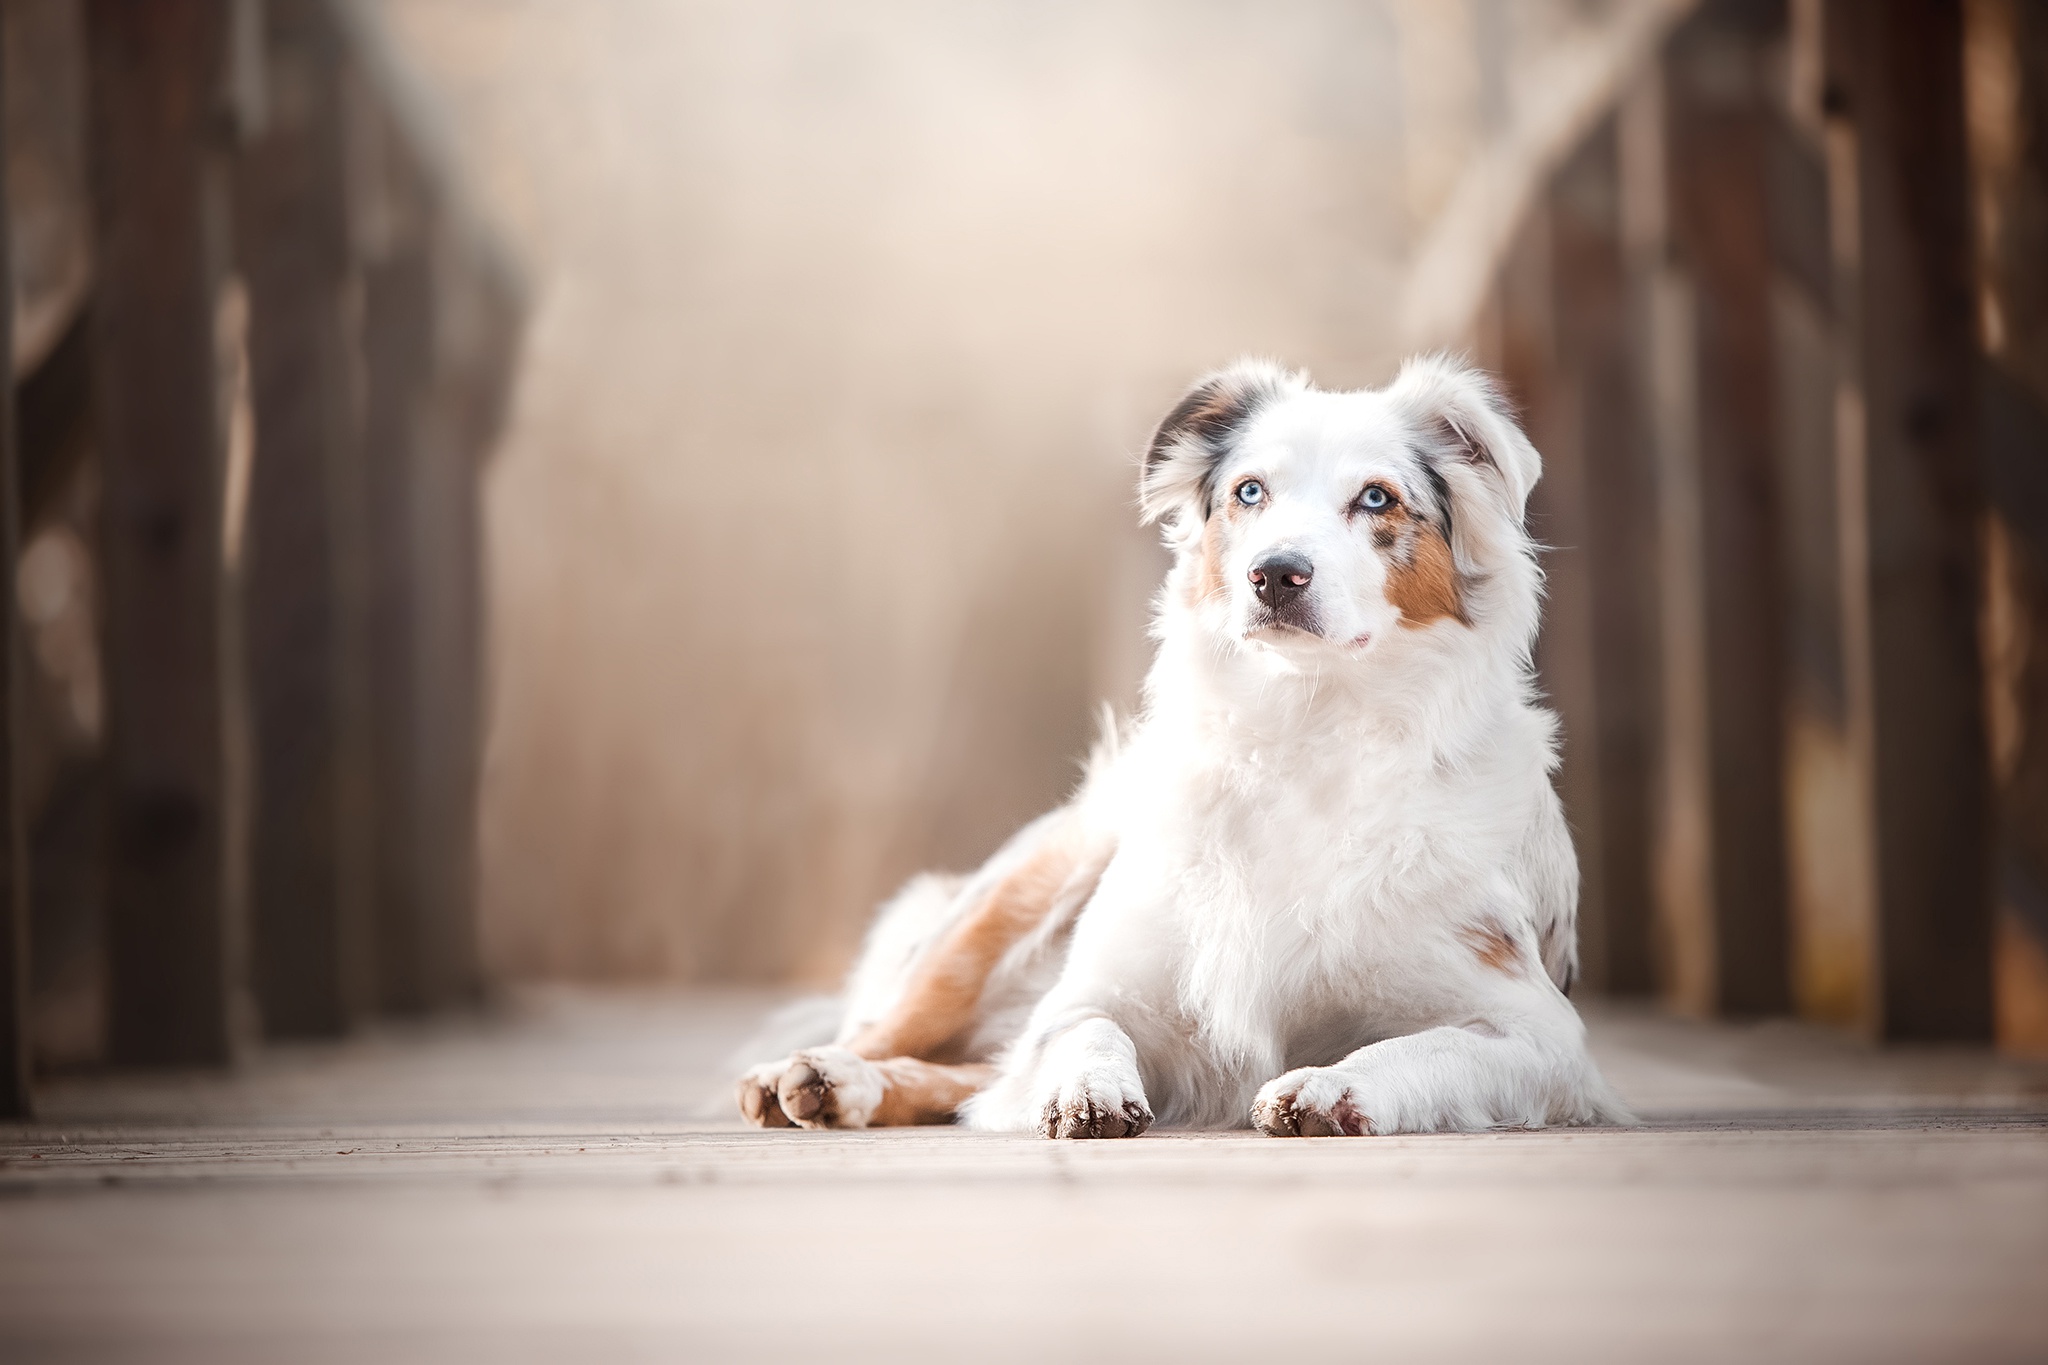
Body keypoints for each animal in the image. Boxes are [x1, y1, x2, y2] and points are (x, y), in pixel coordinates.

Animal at [737, 358, 1630, 1137]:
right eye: (1249, 492)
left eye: (1377, 497)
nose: (1276, 573)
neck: (1304, 729)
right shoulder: (1090, 990)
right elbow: (1085, 1028)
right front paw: (1089, 1089)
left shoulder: (1540, 1032)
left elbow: (1421, 1046)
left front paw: (1333, 1084)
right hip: (1001, 907)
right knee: (892, 1028)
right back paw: (819, 1072)